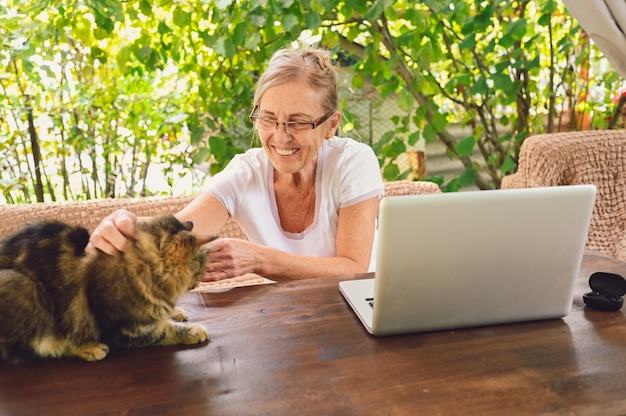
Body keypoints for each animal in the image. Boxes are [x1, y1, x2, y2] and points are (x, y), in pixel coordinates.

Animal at [0, 213, 217, 362]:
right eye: (202, 266)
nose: (200, 281)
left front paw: (177, 311)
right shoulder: (125, 328)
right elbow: (165, 331)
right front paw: (193, 330)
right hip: (30, 294)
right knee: (38, 348)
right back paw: (90, 348)